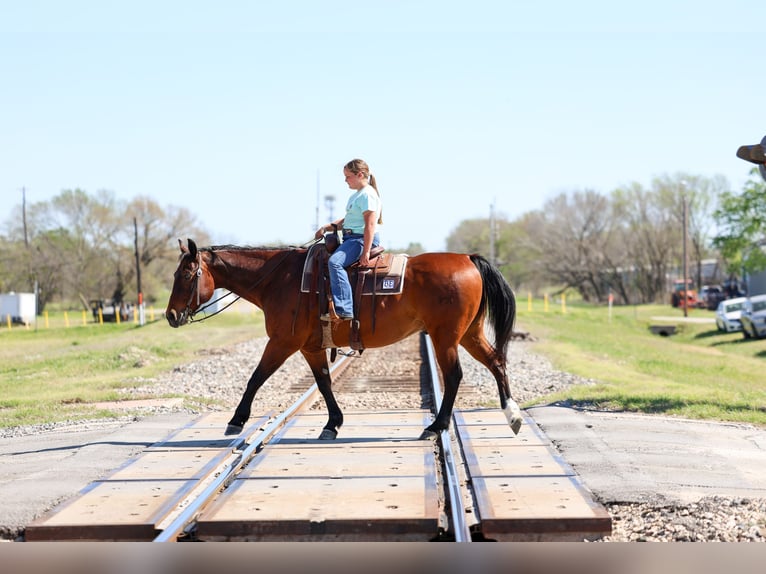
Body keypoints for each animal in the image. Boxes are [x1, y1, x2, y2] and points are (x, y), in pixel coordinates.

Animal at [164, 238, 522, 441]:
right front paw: (332, 424)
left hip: (445, 337)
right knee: (496, 362)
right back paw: (512, 414)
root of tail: (467, 258)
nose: (170, 315)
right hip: (470, 334)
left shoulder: (282, 342)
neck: (279, 280)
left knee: (454, 376)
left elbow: (256, 378)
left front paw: (236, 420)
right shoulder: (309, 347)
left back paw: (437, 426)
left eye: (186, 274)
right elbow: (324, 383)